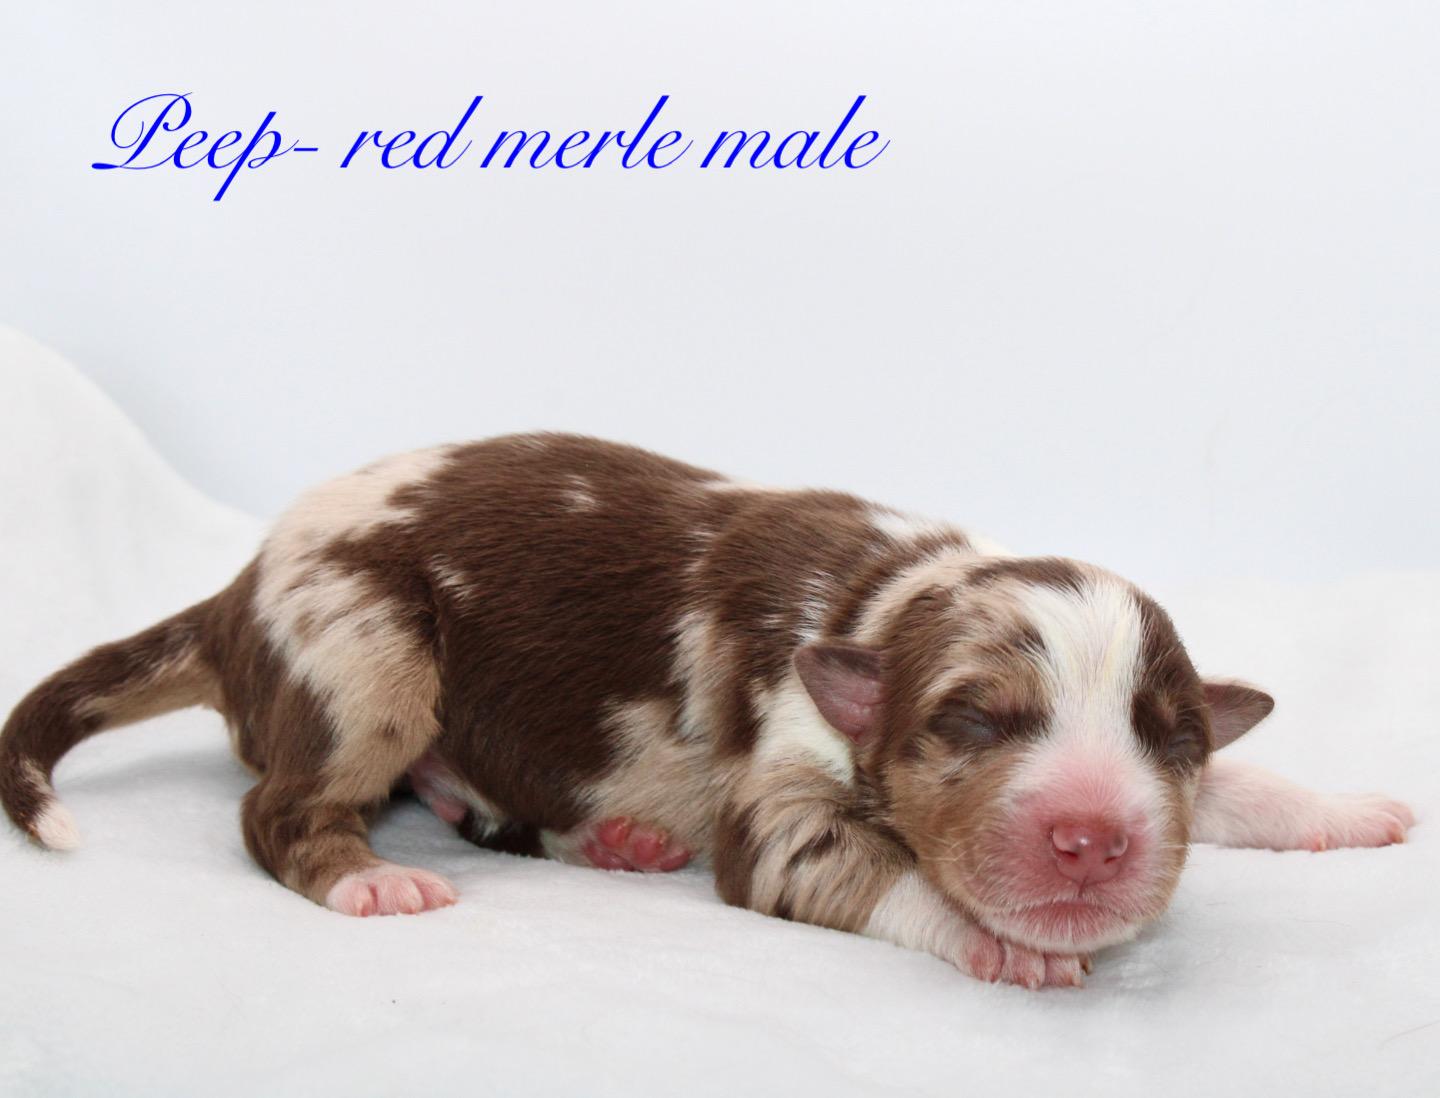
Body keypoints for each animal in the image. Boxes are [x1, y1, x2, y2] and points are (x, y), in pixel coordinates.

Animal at [1, 434, 1414, 987]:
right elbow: (860, 864)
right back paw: (369, 877)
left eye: (1170, 738)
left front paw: (1345, 807)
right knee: (279, 807)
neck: (888, 595)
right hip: (365, 650)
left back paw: (606, 840)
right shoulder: (779, 801)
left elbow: (1248, 786)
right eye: (973, 721)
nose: (1094, 842)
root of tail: (235, 592)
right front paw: (999, 943)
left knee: (463, 792)